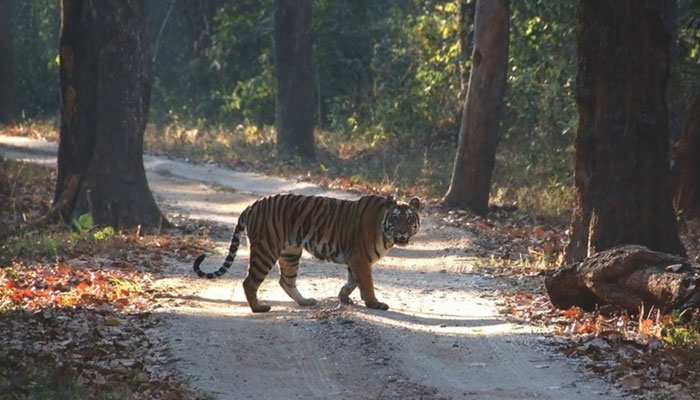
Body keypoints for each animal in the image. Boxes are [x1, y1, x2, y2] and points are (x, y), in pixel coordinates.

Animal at [193, 193, 422, 312]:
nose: (403, 231)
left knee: (286, 281)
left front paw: (343, 297)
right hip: (266, 250)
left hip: (291, 252)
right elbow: (366, 283)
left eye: (410, 219)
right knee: (249, 282)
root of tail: (252, 205)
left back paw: (305, 302)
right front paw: (374, 303)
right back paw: (259, 308)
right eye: (395, 219)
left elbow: (353, 281)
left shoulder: (355, 259)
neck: (384, 231)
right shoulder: (359, 258)